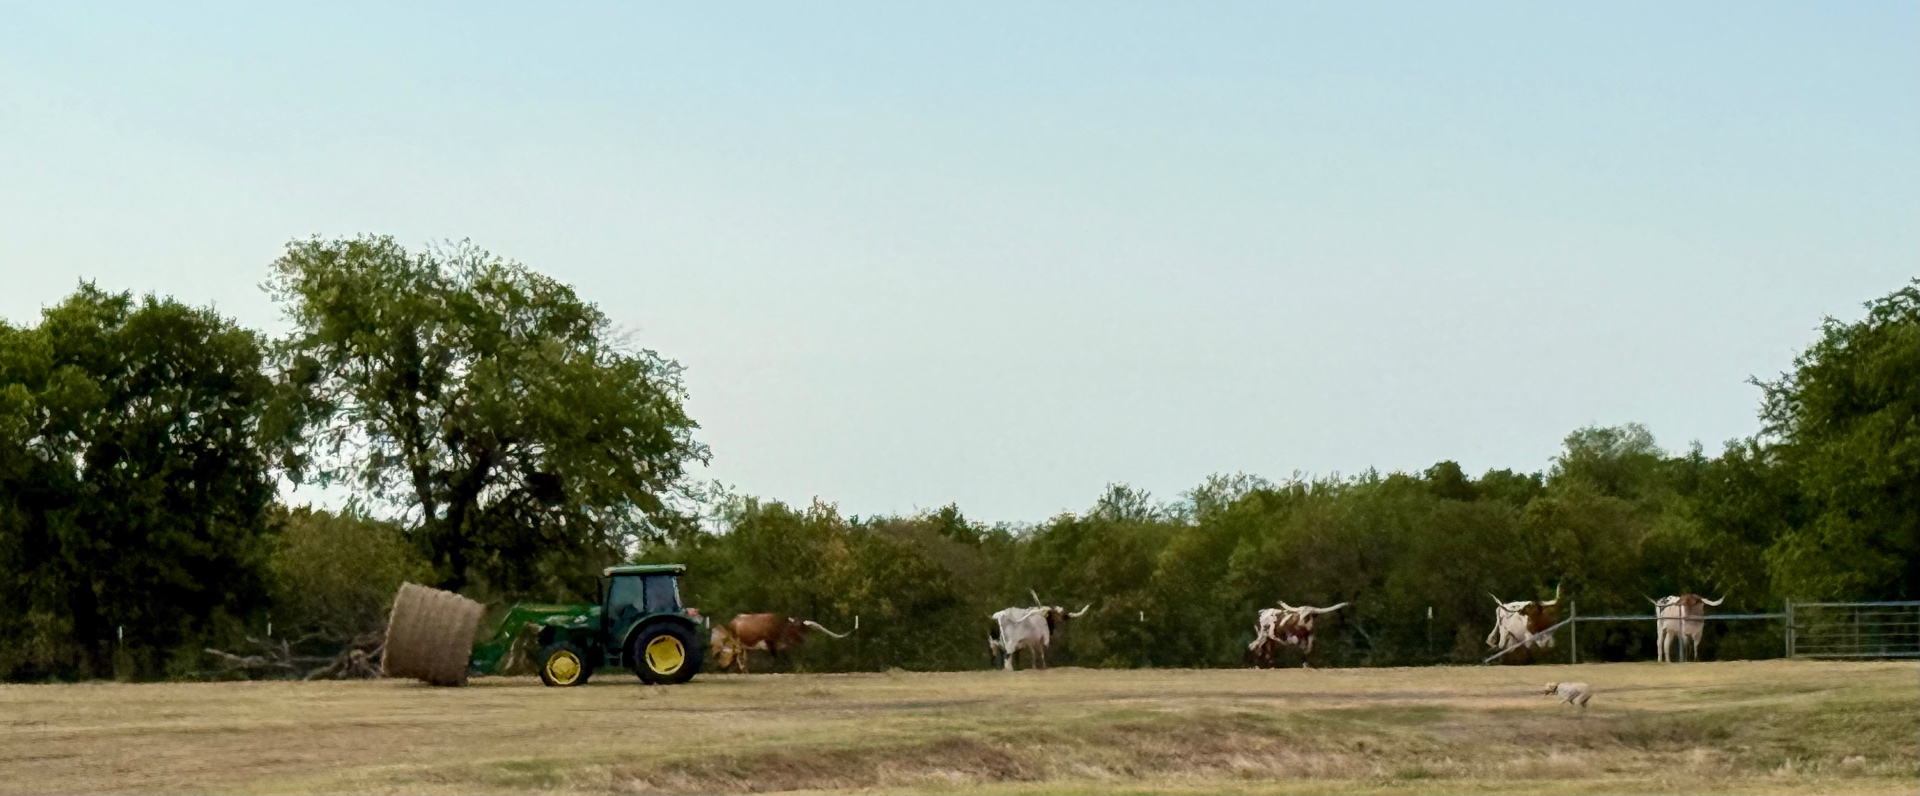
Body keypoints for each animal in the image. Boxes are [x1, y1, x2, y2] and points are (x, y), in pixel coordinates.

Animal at [715, 613, 851, 674]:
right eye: (797, 627)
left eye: (805, 629)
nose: (804, 639)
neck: (780, 628)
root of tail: (734, 620)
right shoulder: (771, 644)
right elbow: (774, 659)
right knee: (738, 656)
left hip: (745, 646)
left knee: (741, 658)